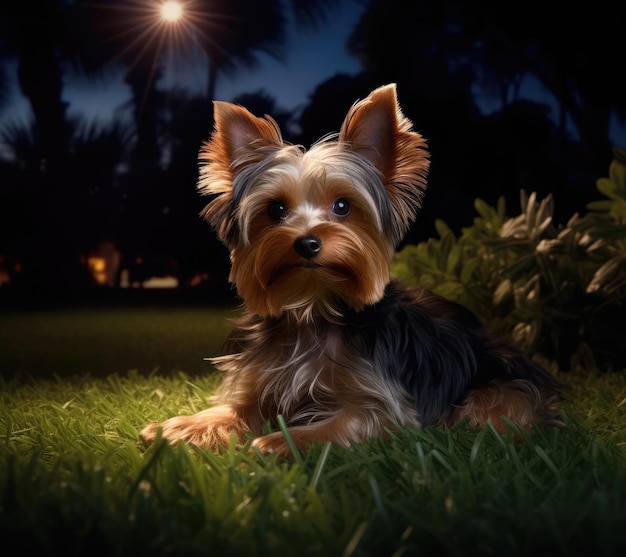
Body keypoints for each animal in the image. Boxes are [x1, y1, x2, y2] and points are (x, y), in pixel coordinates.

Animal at [140, 83, 560, 456]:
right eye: (276, 210)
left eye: (343, 206)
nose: (307, 242)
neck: (312, 309)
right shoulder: (260, 378)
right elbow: (233, 409)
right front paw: (180, 427)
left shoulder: (385, 404)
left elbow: (351, 422)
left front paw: (281, 441)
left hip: (502, 384)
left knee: (494, 410)